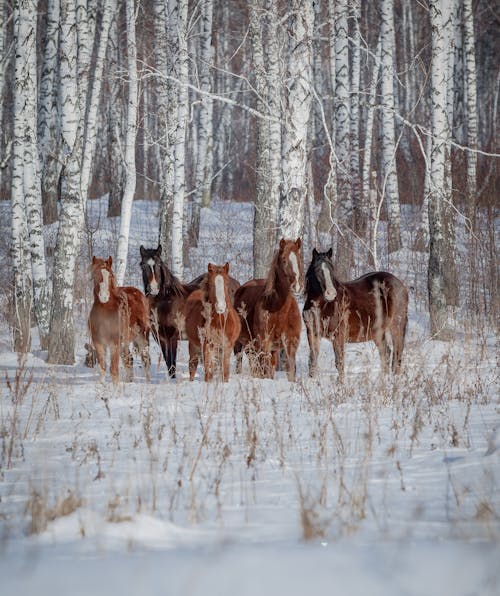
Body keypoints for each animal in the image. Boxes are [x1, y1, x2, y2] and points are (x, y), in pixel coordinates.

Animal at [88, 255, 150, 384]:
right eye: (95, 275)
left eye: (111, 275)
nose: (104, 296)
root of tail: (139, 293)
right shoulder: (98, 343)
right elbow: (102, 368)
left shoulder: (114, 344)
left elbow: (114, 370)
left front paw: (115, 388)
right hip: (125, 342)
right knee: (129, 360)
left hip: (142, 336)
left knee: (145, 358)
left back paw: (148, 382)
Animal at [139, 243, 240, 378]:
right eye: (143, 265)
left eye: (159, 264)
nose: (154, 289)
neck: (167, 302)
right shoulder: (161, 339)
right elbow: (168, 364)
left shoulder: (172, 338)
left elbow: (172, 366)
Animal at [233, 237, 302, 382]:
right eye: (284, 260)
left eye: (299, 259)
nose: (297, 286)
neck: (280, 311)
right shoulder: (264, 343)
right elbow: (265, 371)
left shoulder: (291, 344)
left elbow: (290, 370)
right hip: (242, 344)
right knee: (240, 361)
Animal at [302, 248, 408, 380]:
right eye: (317, 270)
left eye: (331, 270)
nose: (331, 293)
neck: (323, 305)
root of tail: (400, 285)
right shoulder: (312, 333)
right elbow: (313, 361)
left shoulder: (338, 336)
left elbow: (339, 363)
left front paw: (341, 384)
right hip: (378, 332)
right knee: (386, 354)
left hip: (397, 326)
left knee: (397, 354)